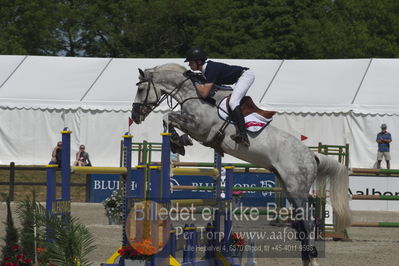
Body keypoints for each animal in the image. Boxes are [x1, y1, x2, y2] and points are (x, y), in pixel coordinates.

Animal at [132, 63, 350, 264]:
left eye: (141, 89)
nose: (135, 117)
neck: (194, 95)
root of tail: (312, 156)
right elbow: (168, 118)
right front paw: (179, 142)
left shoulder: (200, 127)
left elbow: (167, 115)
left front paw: (178, 141)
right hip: (289, 188)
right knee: (302, 223)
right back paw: (305, 257)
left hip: (297, 188)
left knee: (308, 223)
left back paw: (311, 257)